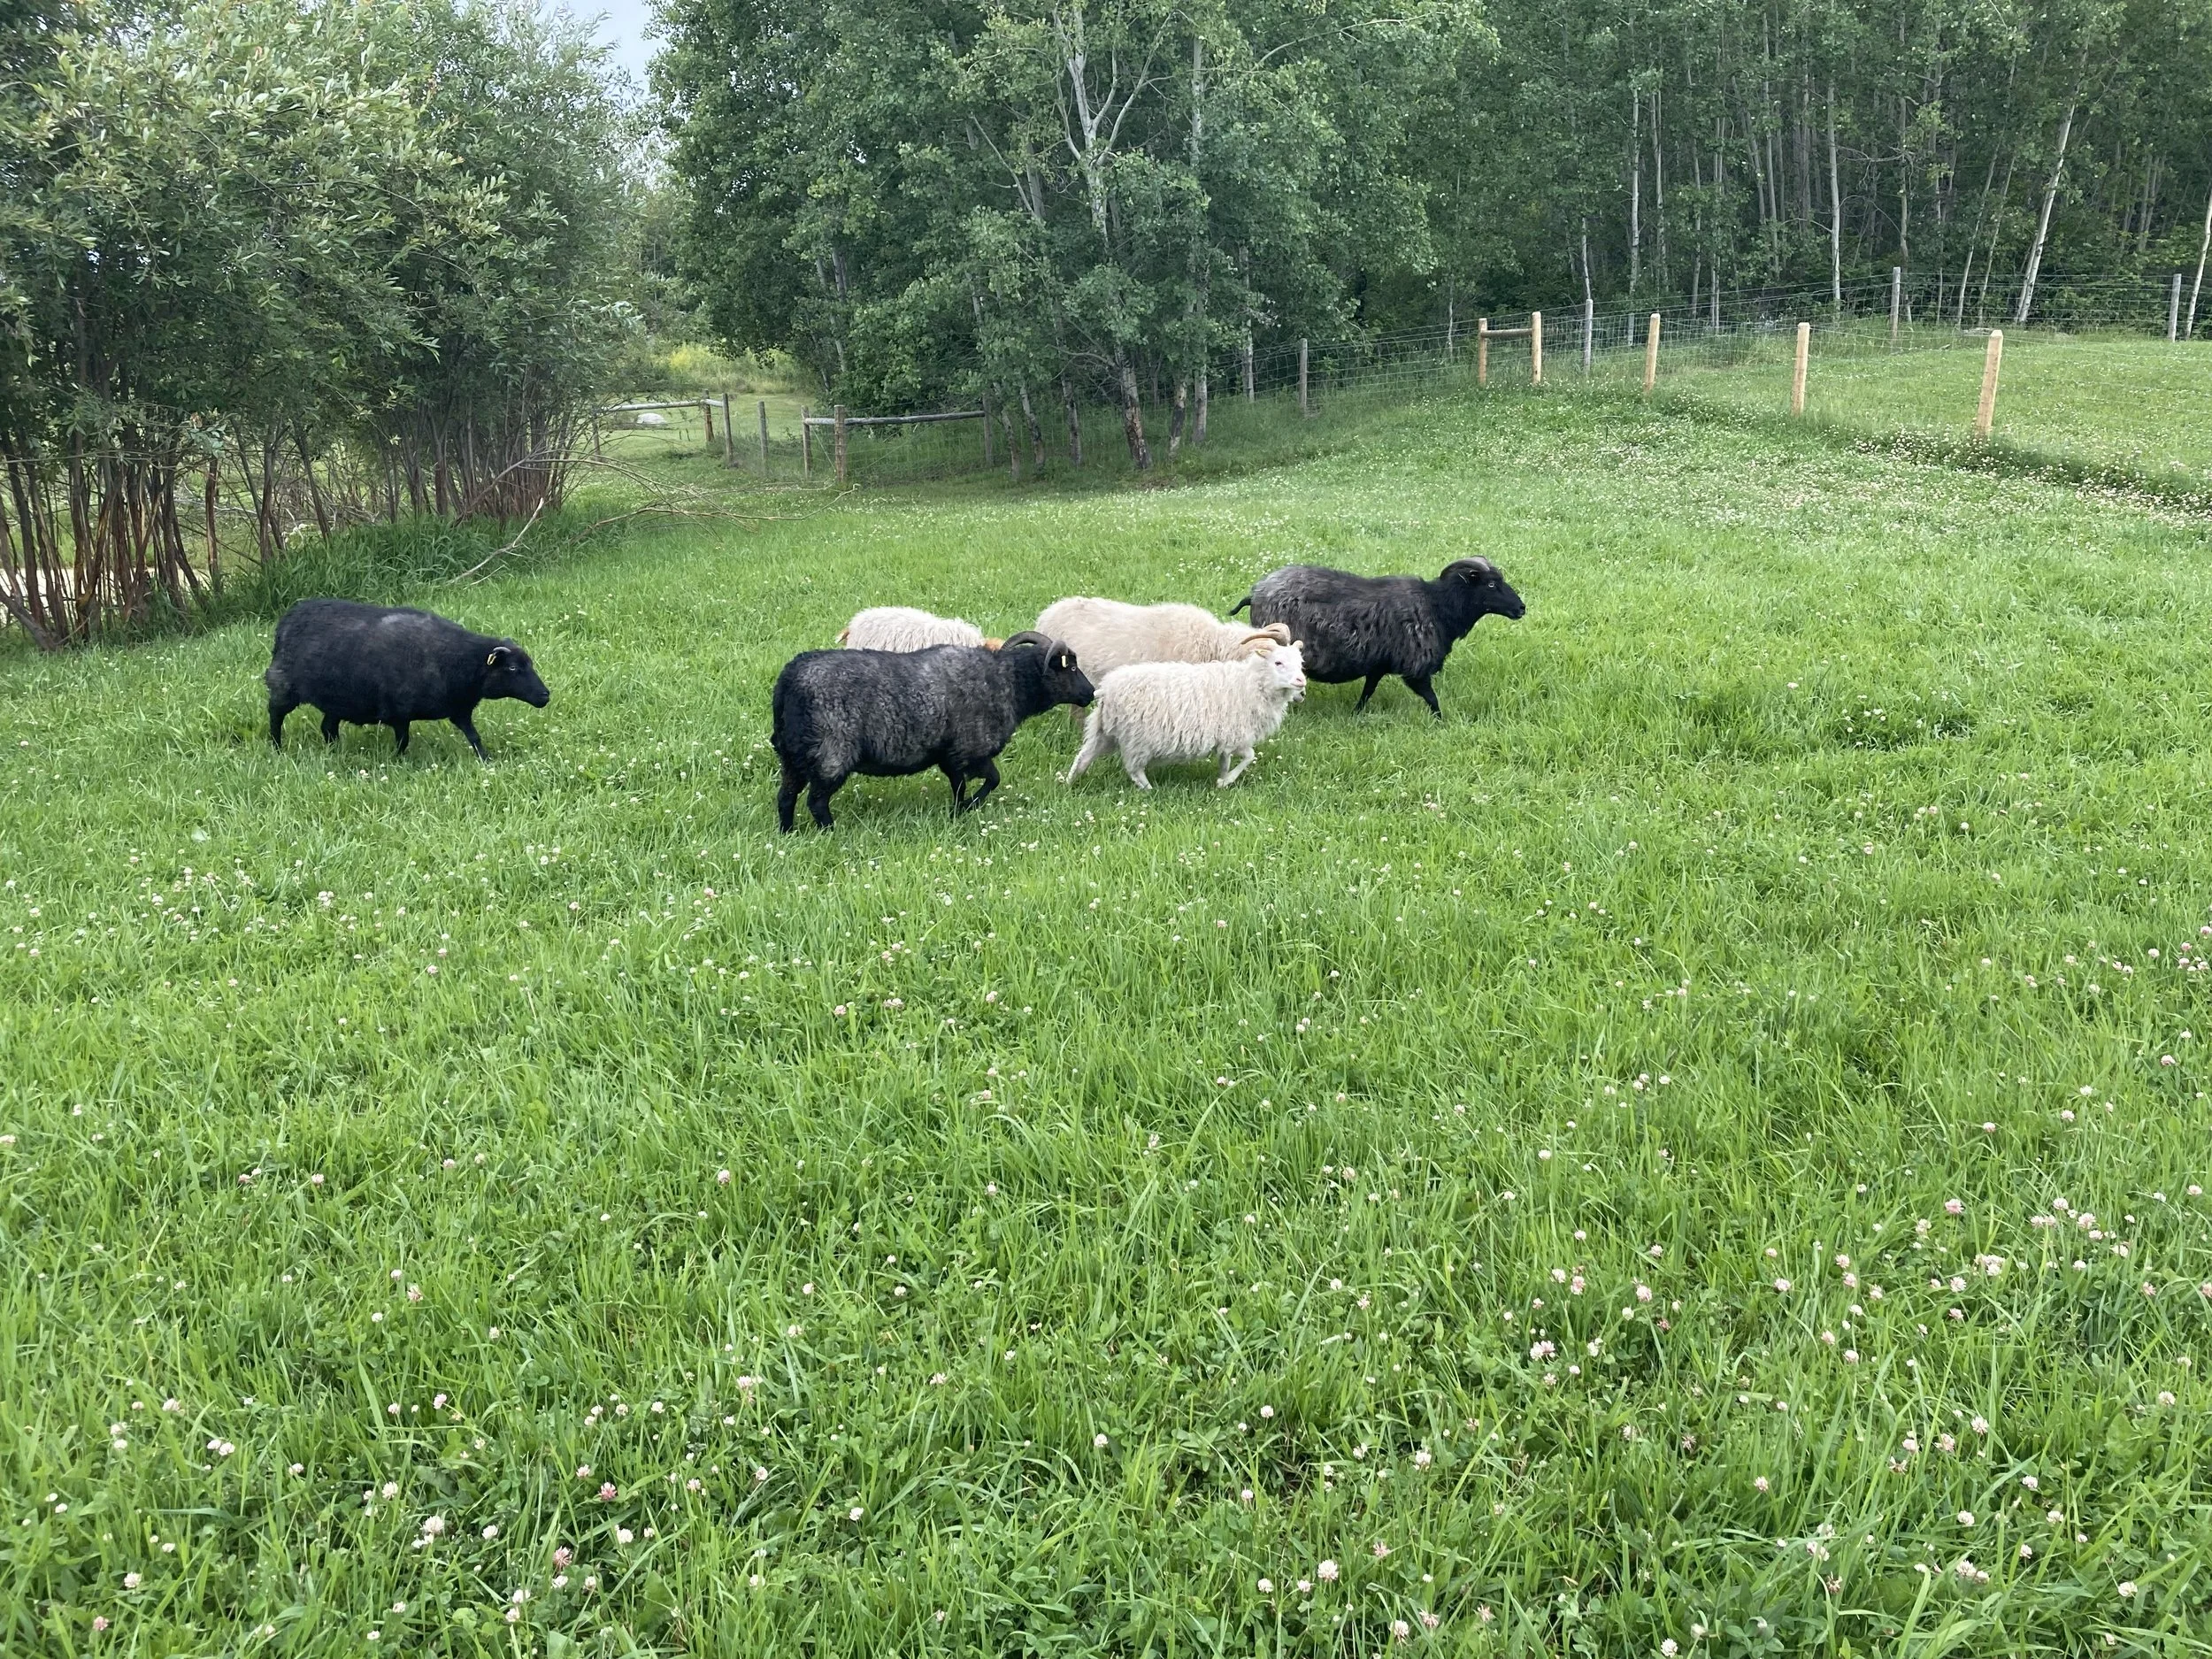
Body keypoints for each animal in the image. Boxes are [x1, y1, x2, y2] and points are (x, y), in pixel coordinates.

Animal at [265, 599, 550, 759]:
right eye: (512, 669)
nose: (545, 695)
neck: (460, 663)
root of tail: (285, 621)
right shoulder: (398, 713)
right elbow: (403, 741)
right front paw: (396, 761)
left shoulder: (459, 709)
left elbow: (474, 736)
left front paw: (487, 760)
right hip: (283, 685)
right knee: (276, 715)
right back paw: (277, 748)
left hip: (338, 699)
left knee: (328, 727)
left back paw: (335, 752)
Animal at [771, 637, 1093, 830]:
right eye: (1072, 668)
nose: (1091, 693)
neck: (1009, 683)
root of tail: (788, 679)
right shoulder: (970, 750)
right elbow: (992, 780)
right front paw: (969, 807)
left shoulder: (951, 757)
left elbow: (960, 786)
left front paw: (958, 811)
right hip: (830, 754)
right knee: (816, 803)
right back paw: (830, 833)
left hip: (792, 757)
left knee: (785, 797)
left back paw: (789, 835)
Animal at [1067, 641, 1306, 790]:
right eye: (1278, 662)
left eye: (1301, 663)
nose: (1301, 682)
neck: (1250, 682)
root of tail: (1106, 689)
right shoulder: (1235, 736)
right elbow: (1250, 756)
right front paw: (1226, 781)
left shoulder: (1226, 740)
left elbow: (1226, 762)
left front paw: (1221, 781)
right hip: (1137, 739)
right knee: (1134, 770)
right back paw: (1150, 791)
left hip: (1104, 731)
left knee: (1083, 758)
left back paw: (1068, 782)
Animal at [1230, 557, 1523, 717]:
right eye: (1491, 584)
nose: (1522, 608)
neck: (1439, 607)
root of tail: (1254, 593)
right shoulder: (1415, 667)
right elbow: (1432, 698)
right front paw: (1441, 722)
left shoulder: (1378, 663)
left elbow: (1368, 690)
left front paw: (1356, 714)